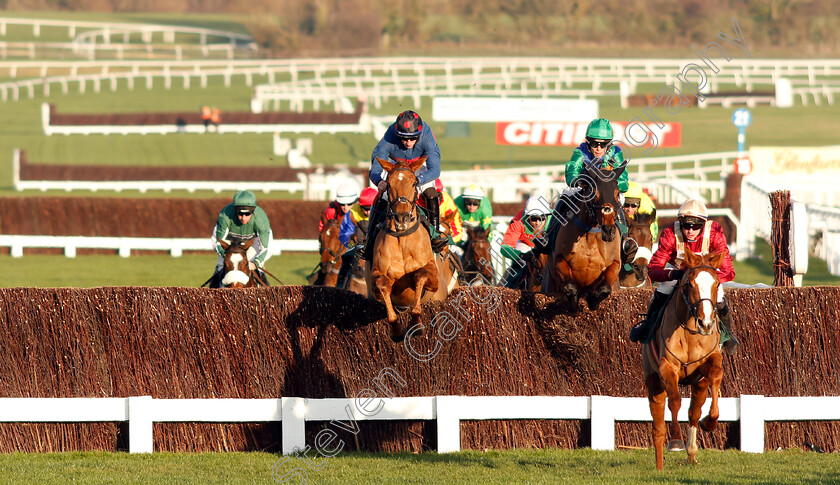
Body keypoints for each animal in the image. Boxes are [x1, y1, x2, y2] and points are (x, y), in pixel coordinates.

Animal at [362, 157, 450, 342]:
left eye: (414, 183)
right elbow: (382, 284)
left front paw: (416, 325)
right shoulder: (375, 279)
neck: (402, 239)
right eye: (388, 184)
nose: (401, 218)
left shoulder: (433, 278)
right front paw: (396, 329)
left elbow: (420, 275)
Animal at [540, 159, 628, 310]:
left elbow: (604, 288)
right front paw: (573, 303)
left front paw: (593, 300)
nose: (608, 230)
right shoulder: (559, 259)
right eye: (594, 194)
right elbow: (569, 287)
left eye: (617, 194)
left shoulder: (615, 264)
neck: (591, 236)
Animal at [640, 248, 724, 466]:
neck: (691, 334)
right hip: (653, 381)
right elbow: (675, 401)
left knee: (694, 412)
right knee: (658, 426)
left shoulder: (709, 364)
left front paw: (710, 421)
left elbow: (716, 376)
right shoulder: (667, 368)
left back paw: (692, 453)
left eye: (716, 283)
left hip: (698, 384)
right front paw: (676, 440)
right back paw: (659, 465)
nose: (706, 323)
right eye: (690, 284)